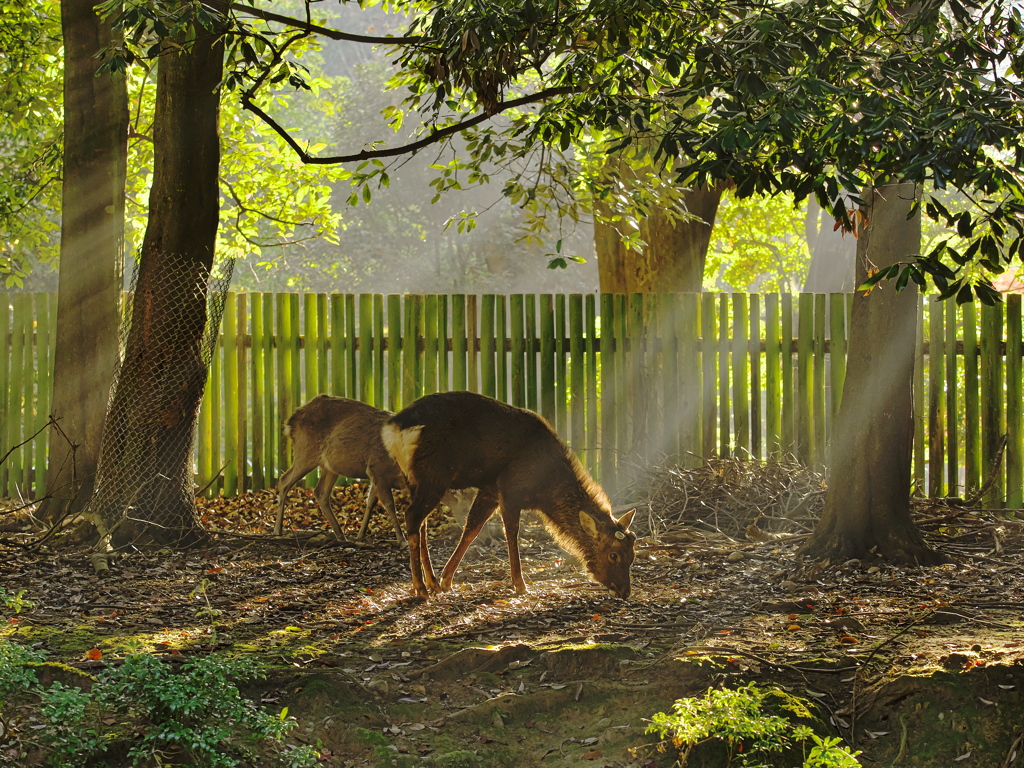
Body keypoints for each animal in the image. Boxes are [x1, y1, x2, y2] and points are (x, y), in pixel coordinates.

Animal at [385, 391, 634, 602]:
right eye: (613, 555)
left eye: (632, 555)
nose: (625, 591)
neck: (546, 490)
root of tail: (395, 428)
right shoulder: (510, 490)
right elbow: (512, 534)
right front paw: (520, 584)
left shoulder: (490, 491)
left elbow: (471, 529)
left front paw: (447, 580)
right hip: (434, 474)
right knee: (412, 516)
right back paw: (420, 588)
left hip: (415, 478)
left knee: (422, 523)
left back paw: (433, 583)